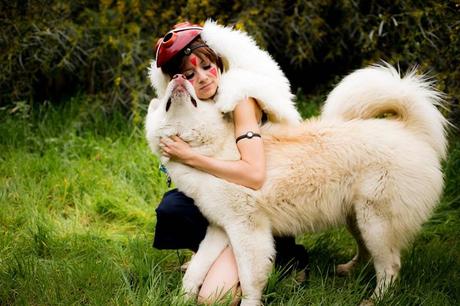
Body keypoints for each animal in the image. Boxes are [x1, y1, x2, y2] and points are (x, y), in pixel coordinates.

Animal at [146, 63, 448, 304]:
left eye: (188, 82)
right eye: (166, 98)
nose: (177, 77)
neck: (213, 150)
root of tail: (410, 130)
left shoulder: (249, 230)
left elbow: (250, 279)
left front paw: (250, 302)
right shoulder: (221, 228)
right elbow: (196, 270)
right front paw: (181, 299)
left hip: (376, 222)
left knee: (390, 266)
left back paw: (375, 299)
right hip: (358, 218)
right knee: (368, 254)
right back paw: (348, 270)